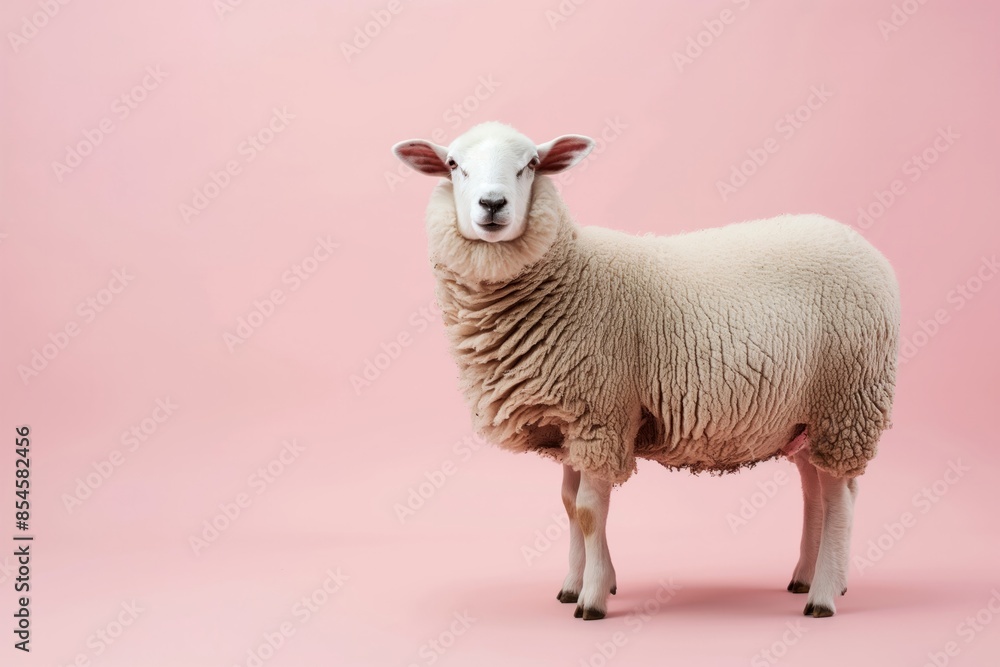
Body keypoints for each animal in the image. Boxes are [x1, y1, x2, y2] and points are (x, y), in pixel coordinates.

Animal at [392, 121, 900, 621]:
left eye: (531, 165)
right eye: (453, 164)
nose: (492, 204)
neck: (570, 276)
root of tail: (862, 246)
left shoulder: (602, 414)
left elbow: (589, 511)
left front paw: (593, 598)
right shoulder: (570, 421)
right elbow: (568, 505)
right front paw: (573, 585)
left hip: (847, 402)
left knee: (838, 498)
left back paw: (824, 596)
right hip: (806, 416)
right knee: (817, 490)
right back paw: (806, 577)